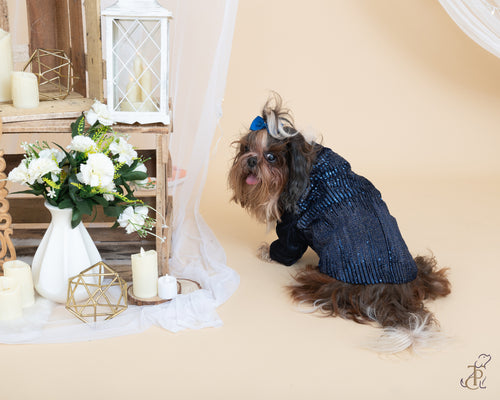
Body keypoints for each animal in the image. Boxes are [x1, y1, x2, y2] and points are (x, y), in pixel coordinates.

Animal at [229, 94, 452, 354]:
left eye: (271, 157)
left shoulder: (292, 225)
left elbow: (285, 247)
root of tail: (391, 293)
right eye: (246, 148)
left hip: (325, 281)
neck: (303, 163)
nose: (251, 160)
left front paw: (268, 252)